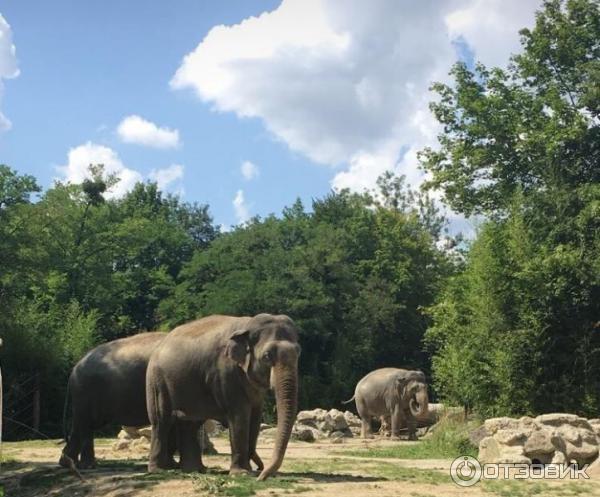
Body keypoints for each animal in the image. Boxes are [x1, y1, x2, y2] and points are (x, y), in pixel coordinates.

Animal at [59, 332, 176, 466]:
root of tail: (74, 370)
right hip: (85, 392)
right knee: (85, 425)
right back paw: (86, 465)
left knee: (82, 425)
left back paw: (68, 462)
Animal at [146, 312, 300, 478]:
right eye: (266, 356)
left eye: (298, 353)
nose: (261, 473)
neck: (247, 324)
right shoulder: (226, 373)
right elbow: (240, 416)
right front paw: (242, 474)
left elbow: (255, 417)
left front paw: (246, 471)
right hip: (157, 382)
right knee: (161, 421)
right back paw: (159, 470)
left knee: (190, 423)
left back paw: (196, 470)